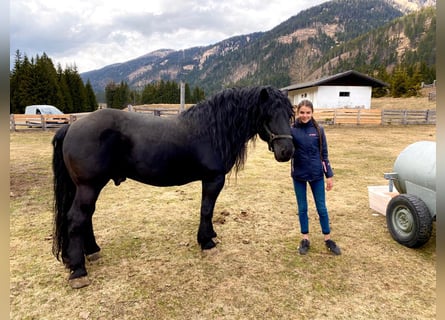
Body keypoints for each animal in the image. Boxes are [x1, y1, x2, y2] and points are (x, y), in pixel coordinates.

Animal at [53, 85, 294, 288]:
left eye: (290, 115)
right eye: (267, 114)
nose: (287, 151)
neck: (212, 130)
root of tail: (72, 125)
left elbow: (209, 210)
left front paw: (211, 235)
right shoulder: (213, 179)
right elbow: (206, 209)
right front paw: (206, 242)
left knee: (85, 217)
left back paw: (91, 251)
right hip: (88, 186)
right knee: (77, 218)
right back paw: (78, 271)